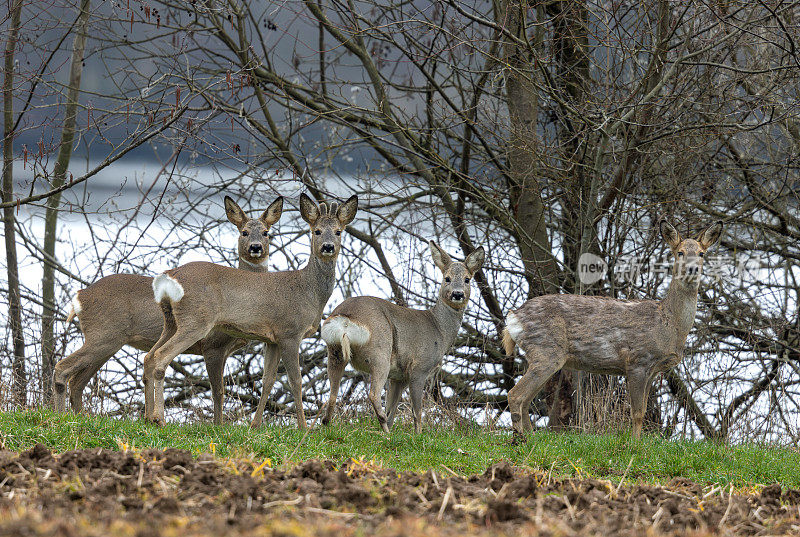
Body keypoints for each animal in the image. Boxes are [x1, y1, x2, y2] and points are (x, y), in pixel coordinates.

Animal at [50, 195, 282, 420]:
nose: (255, 247)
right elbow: (219, 391)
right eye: (243, 232)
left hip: (107, 342)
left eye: (266, 233)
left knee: (77, 382)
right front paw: (218, 425)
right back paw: (60, 417)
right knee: (63, 369)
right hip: (104, 335)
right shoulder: (212, 345)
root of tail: (80, 296)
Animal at [142, 193, 358, 428]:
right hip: (196, 320)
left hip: (171, 321)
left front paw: (255, 425)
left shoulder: (272, 339)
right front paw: (302, 427)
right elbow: (295, 380)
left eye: (338, 231)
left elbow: (268, 380)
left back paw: (148, 417)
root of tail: (168, 277)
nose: (328, 247)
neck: (307, 290)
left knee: (149, 356)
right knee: (161, 357)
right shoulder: (289, 332)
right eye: (316, 231)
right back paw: (159, 418)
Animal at [320, 241, 484, 434]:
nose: (458, 294)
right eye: (447, 278)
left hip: (335, 351)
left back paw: (329, 424)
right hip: (380, 352)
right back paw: (386, 433)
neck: (439, 329)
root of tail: (345, 319)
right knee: (373, 394)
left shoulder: (398, 376)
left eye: (467, 279)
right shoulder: (419, 367)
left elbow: (393, 410)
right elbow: (417, 412)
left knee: (333, 394)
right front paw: (418, 435)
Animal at [506, 220, 724, 438]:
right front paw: (634, 443)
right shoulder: (638, 360)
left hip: (542, 355)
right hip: (546, 350)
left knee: (526, 399)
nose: (693, 268)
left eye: (702, 253)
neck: (669, 325)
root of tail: (513, 317)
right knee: (515, 395)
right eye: (680, 252)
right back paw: (520, 438)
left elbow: (643, 410)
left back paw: (530, 436)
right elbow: (637, 413)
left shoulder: (653, 370)